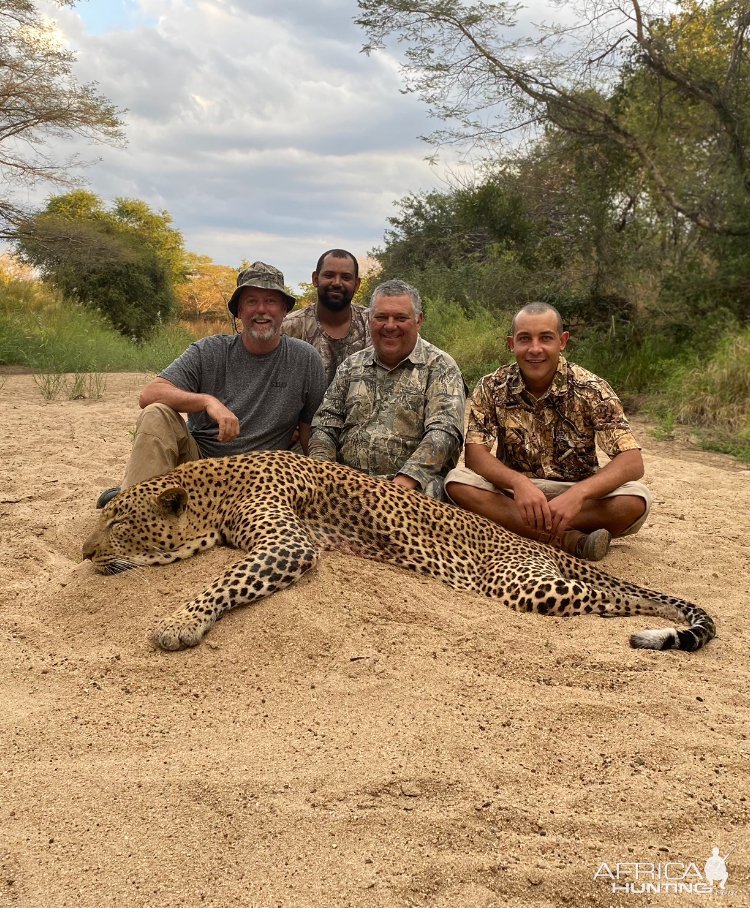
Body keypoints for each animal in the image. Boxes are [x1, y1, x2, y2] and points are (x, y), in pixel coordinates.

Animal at [82, 450, 716, 653]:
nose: (85, 553)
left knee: (615, 597)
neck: (217, 490)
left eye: (119, 523)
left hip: (523, 581)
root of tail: (526, 541)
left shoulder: (288, 541)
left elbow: (224, 580)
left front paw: (178, 621)